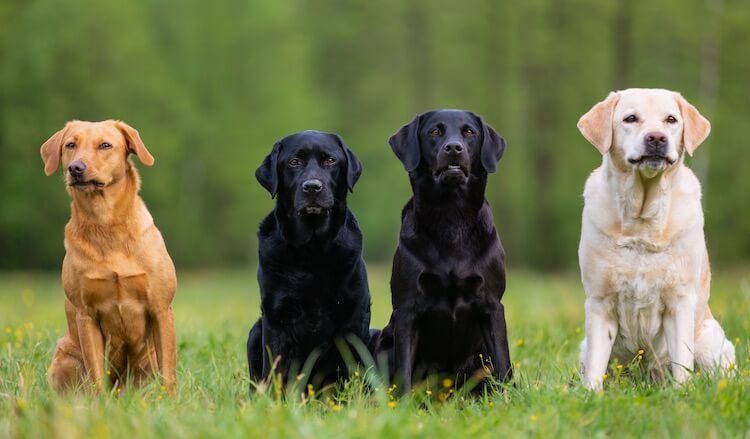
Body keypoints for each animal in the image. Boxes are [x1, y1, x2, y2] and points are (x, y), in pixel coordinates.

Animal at [43, 119, 178, 392]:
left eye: (105, 145)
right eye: (70, 145)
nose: (76, 168)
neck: (106, 225)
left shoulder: (161, 308)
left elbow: (168, 373)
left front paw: (171, 400)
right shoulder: (86, 315)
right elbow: (96, 374)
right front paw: (99, 401)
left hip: (147, 360)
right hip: (67, 355)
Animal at [247, 131, 374, 388]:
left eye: (330, 160)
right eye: (294, 162)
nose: (312, 187)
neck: (312, 252)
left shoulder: (355, 314)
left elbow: (354, 367)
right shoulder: (275, 317)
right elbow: (274, 368)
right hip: (255, 330)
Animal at [378, 109, 516, 392]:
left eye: (469, 132)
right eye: (434, 131)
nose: (453, 147)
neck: (451, 218)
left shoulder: (492, 305)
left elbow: (503, 363)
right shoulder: (407, 309)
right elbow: (403, 370)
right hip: (384, 340)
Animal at [580, 87, 736, 390]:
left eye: (671, 120)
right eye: (630, 118)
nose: (656, 138)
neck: (642, 221)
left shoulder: (680, 301)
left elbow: (682, 361)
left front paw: (682, 393)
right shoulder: (600, 302)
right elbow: (595, 366)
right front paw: (590, 395)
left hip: (711, 341)